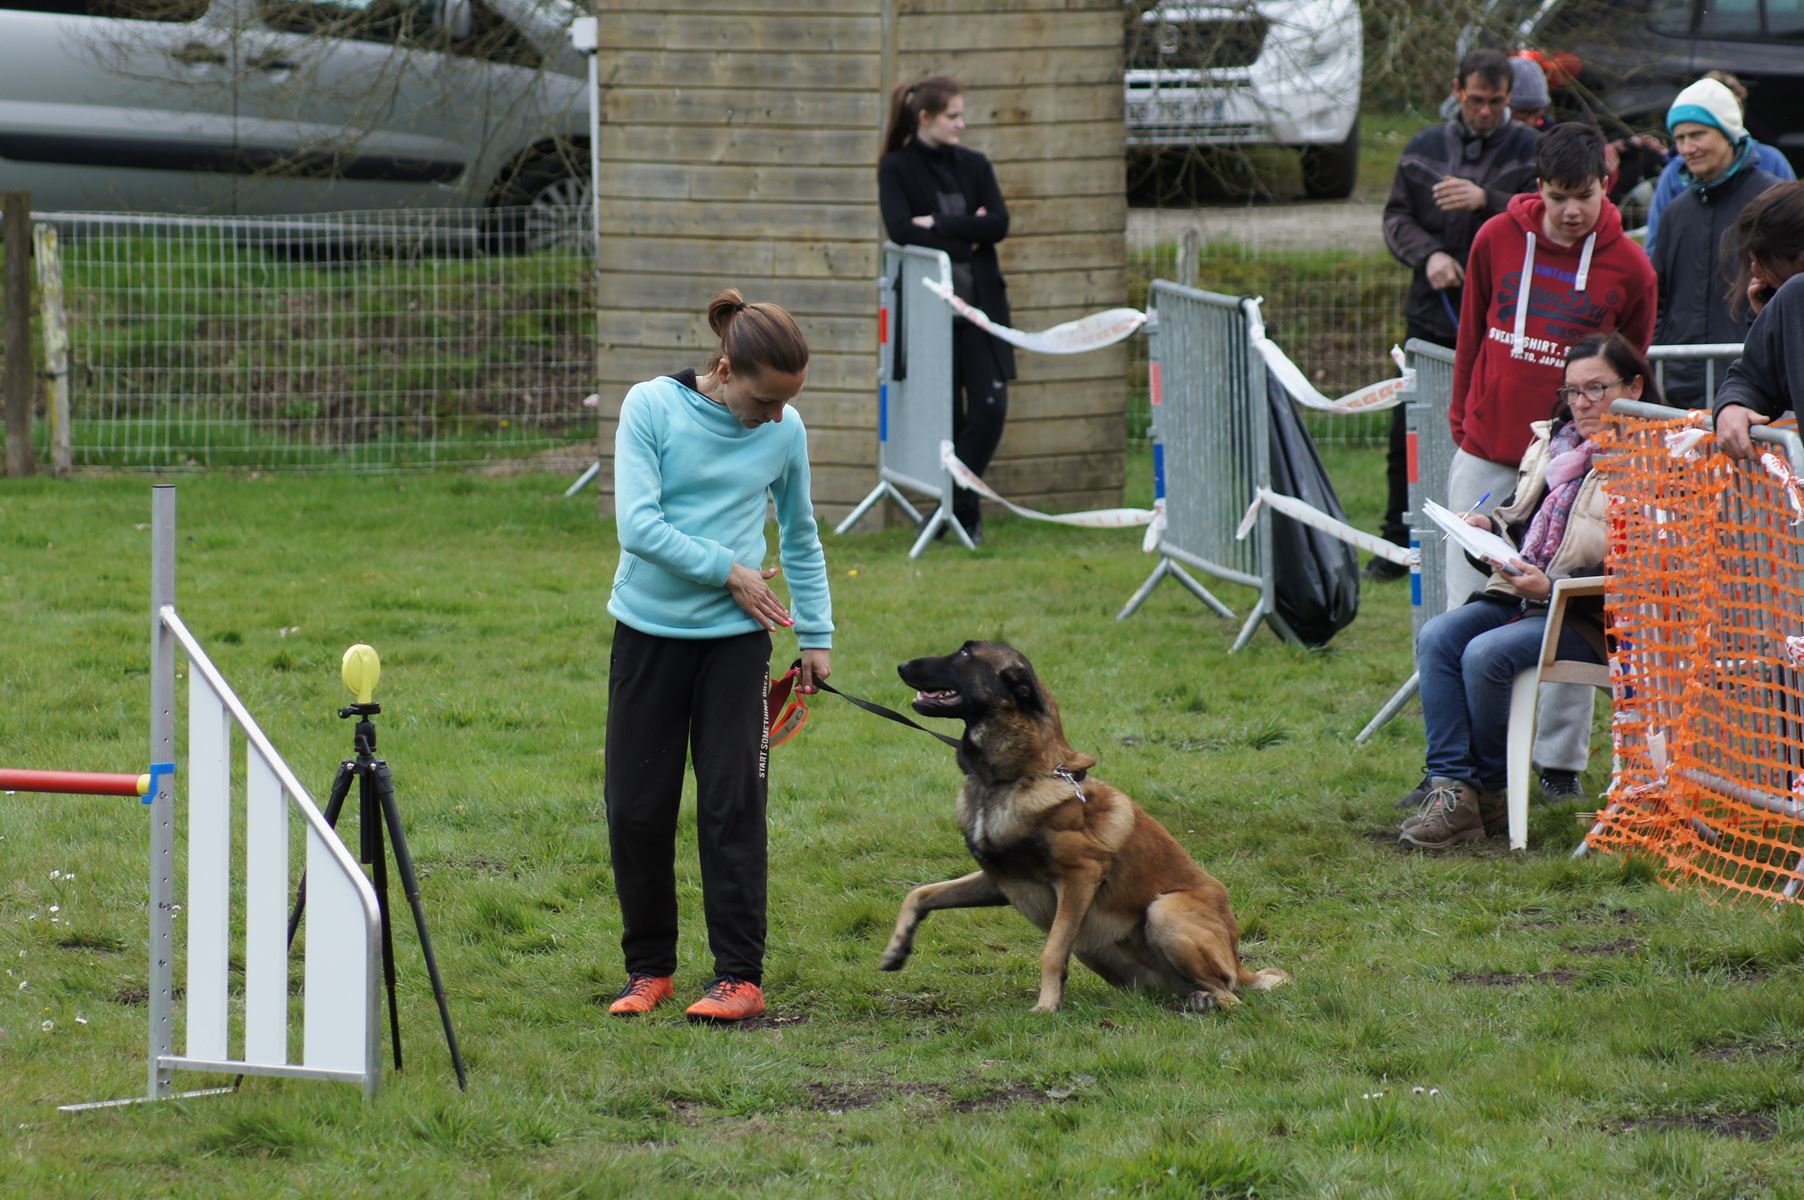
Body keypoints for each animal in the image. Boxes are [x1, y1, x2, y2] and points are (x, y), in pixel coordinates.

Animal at [880, 635, 1291, 1010]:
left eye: (965, 652)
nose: (900, 666)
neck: (1012, 778)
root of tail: (1238, 961)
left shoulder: (1080, 876)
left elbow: (1051, 950)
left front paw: (1047, 1006)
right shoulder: (998, 880)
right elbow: (919, 893)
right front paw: (897, 948)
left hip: (1164, 911)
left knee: (1231, 996)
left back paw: (1207, 1002)